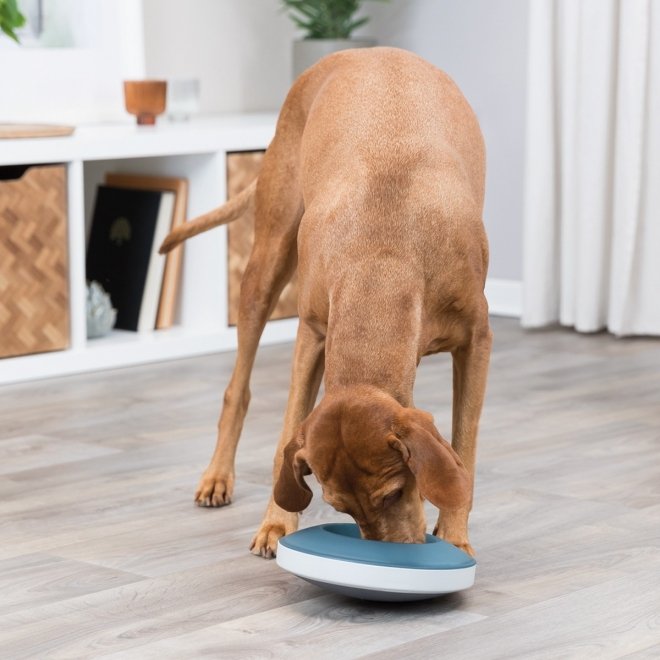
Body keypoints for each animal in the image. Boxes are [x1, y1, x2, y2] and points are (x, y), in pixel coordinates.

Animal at [160, 47, 490, 556]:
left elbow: (464, 447)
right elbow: (286, 430)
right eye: (340, 507)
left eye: (395, 492)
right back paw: (217, 475)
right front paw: (276, 524)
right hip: (266, 261)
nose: (390, 562)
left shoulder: (477, 339)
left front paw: (455, 537)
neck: (384, 255)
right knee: (238, 386)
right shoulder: (313, 332)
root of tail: (362, 50)